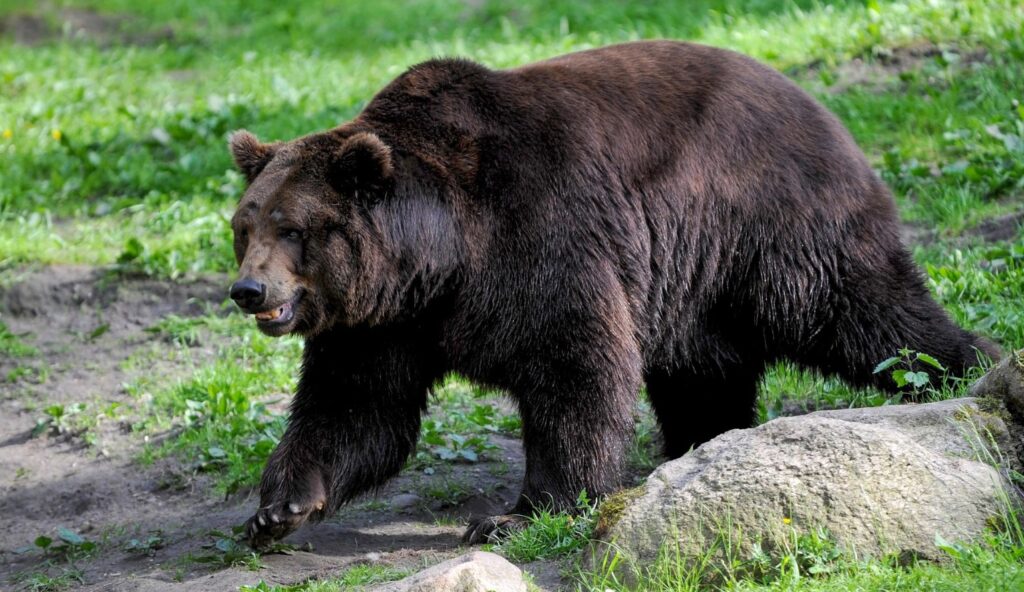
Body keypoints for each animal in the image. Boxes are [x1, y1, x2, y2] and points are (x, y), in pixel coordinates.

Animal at [228, 39, 995, 544]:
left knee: (869, 317)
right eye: (245, 224)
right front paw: (278, 508)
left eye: (294, 228)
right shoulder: (382, 323)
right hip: (693, 283)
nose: (247, 289)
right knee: (702, 371)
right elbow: (357, 408)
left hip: (773, 227)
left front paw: (515, 514)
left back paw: (968, 369)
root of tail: (824, 109)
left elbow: (574, 368)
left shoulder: (539, 237)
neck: (438, 258)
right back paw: (697, 444)